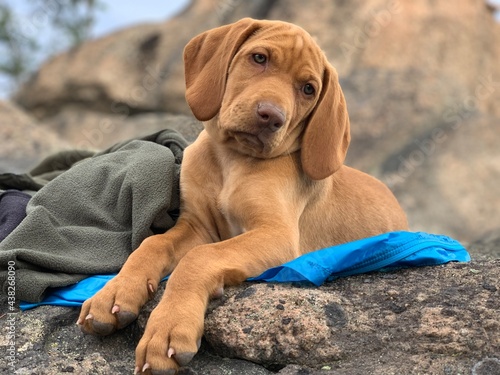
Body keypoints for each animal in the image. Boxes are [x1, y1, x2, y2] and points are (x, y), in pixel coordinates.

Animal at [77, 18, 406, 375]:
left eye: (308, 89)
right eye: (259, 58)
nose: (271, 116)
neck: (231, 160)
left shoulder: (276, 235)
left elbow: (199, 258)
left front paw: (168, 328)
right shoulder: (198, 225)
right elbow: (152, 244)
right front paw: (115, 292)